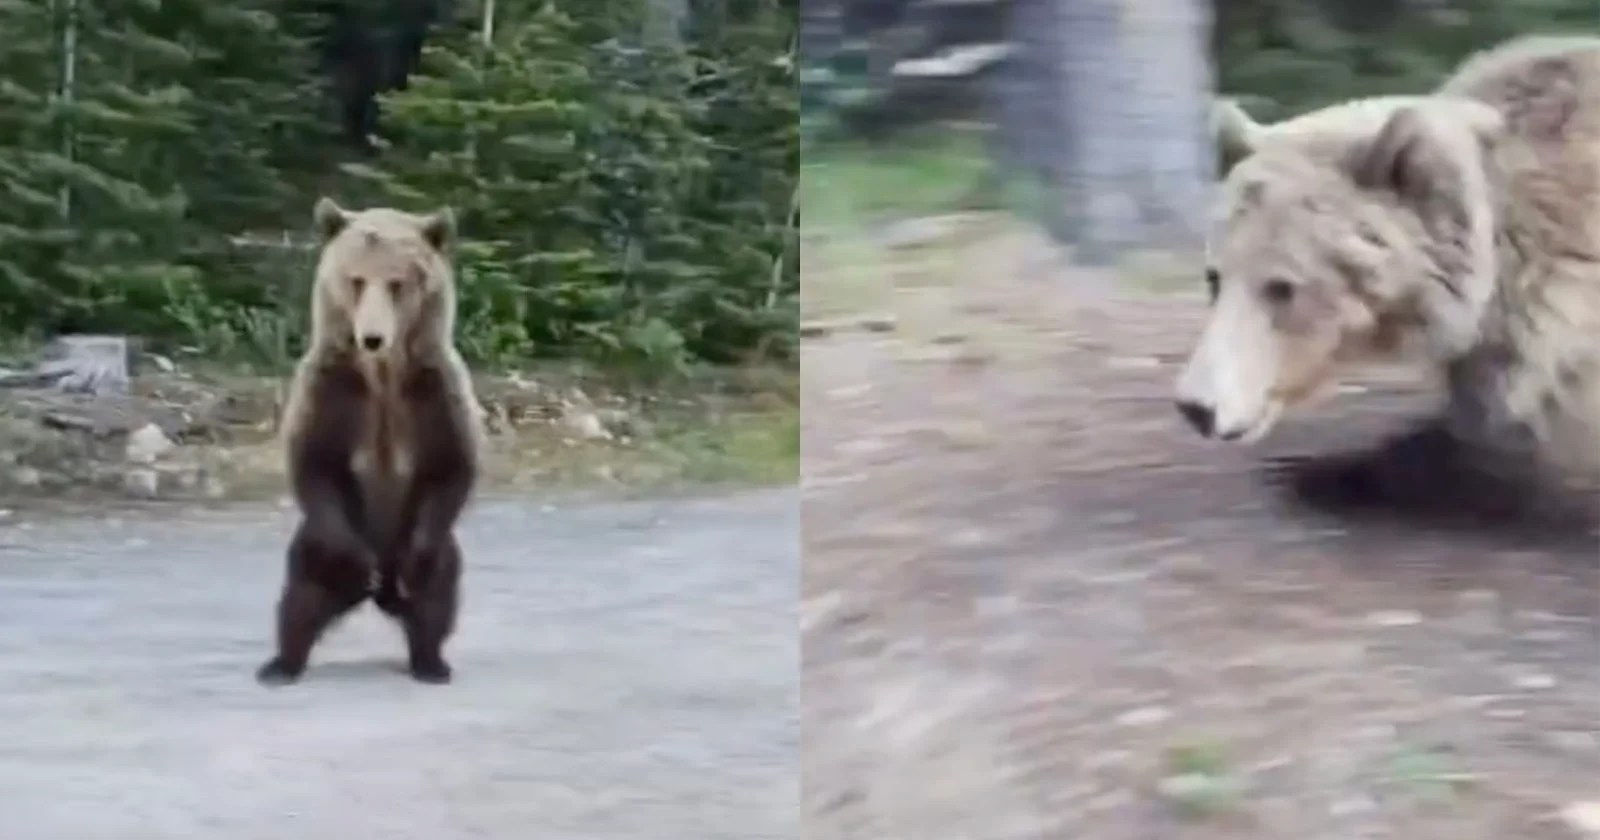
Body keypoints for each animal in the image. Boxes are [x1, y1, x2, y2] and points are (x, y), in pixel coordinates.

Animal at [256, 196, 482, 686]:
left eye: (397, 283)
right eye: (356, 279)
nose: (372, 337)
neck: (382, 376)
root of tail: (380, 599)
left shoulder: (434, 392)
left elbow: (451, 464)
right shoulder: (333, 388)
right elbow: (315, 461)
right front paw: (356, 564)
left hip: (431, 544)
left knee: (438, 595)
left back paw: (430, 661)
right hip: (314, 542)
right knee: (302, 593)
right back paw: (282, 663)